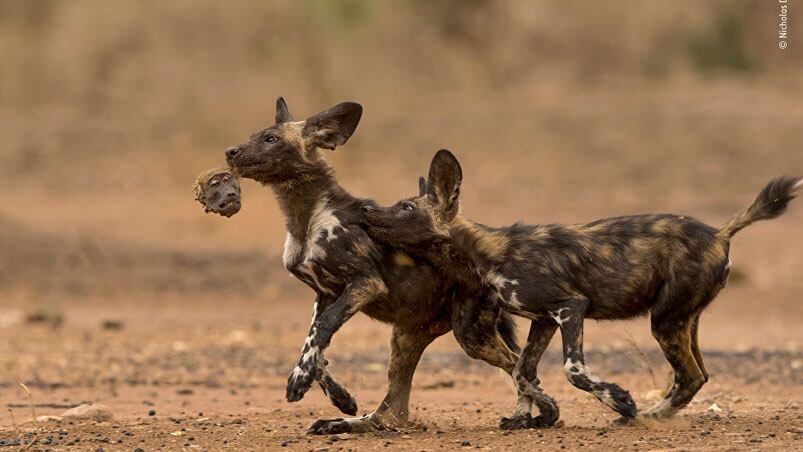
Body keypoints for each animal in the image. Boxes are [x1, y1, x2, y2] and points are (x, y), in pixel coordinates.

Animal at [221, 100, 520, 434]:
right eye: (253, 136)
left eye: (270, 139)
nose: (230, 151)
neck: (306, 218)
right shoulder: (325, 294)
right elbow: (314, 343)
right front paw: (338, 395)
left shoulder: (365, 284)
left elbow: (322, 329)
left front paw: (298, 382)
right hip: (406, 337)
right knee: (392, 412)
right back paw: (341, 422)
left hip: (470, 336)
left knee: (517, 364)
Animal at [362, 150, 800, 426]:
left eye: (405, 208)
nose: (365, 207)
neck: (485, 254)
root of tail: (719, 233)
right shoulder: (543, 320)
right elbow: (522, 371)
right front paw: (528, 417)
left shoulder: (570, 307)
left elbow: (572, 369)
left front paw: (619, 400)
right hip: (682, 320)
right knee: (698, 374)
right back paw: (653, 415)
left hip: (663, 321)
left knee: (690, 375)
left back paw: (643, 417)